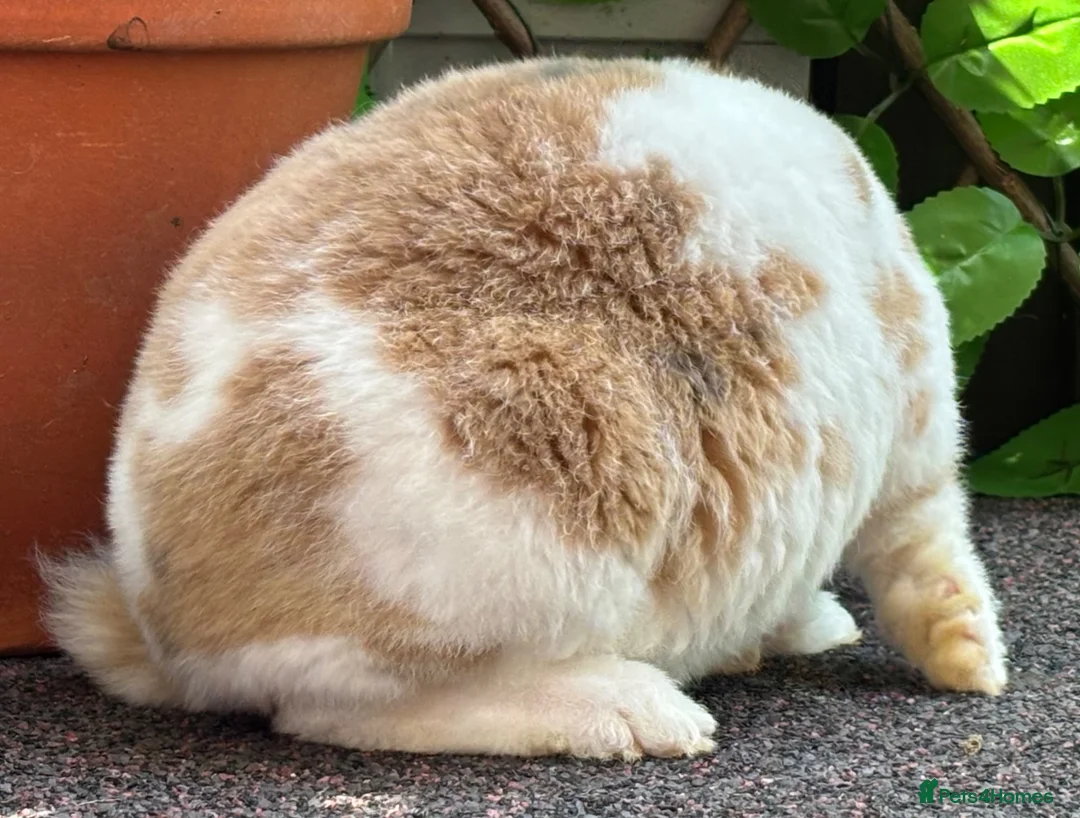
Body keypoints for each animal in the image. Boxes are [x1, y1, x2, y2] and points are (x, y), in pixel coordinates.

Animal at [41, 55, 1007, 760]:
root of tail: (168, 625)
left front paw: (807, 627)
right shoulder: (917, 433)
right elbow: (928, 551)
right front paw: (971, 662)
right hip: (542, 482)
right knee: (337, 710)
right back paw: (636, 715)